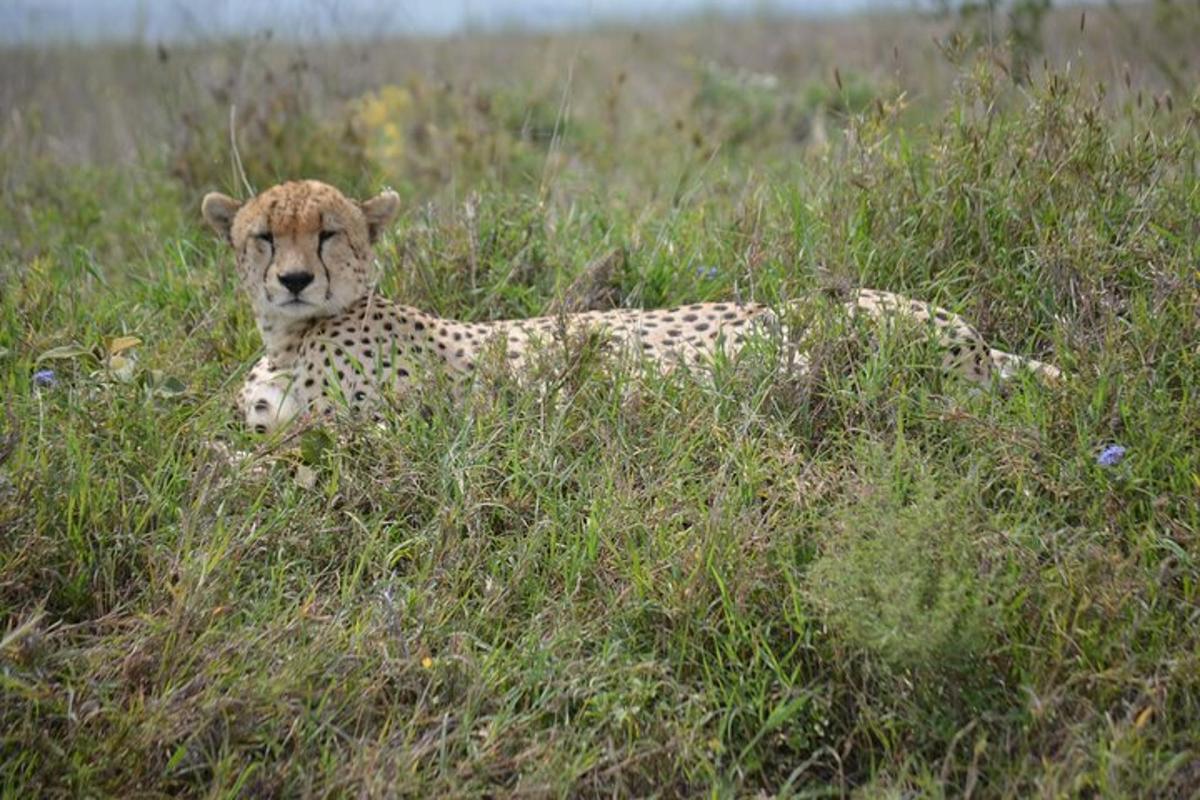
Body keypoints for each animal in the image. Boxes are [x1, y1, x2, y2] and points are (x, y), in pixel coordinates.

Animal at [201, 181, 1065, 434]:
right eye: (265, 237)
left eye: (328, 232)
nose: (294, 281)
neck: (287, 339)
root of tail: (975, 338)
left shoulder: (376, 429)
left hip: (835, 336)